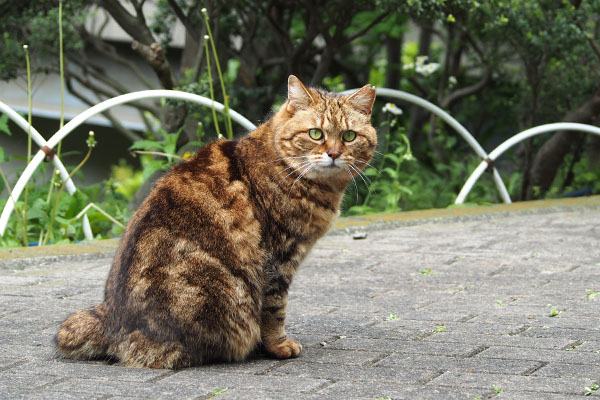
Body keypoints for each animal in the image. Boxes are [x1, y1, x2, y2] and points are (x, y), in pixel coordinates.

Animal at [56, 75, 376, 368]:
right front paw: (279, 345)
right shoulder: (278, 259)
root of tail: (110, 319)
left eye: (349, 136)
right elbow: (274, 310)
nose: (333, 153)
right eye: (315, 133)